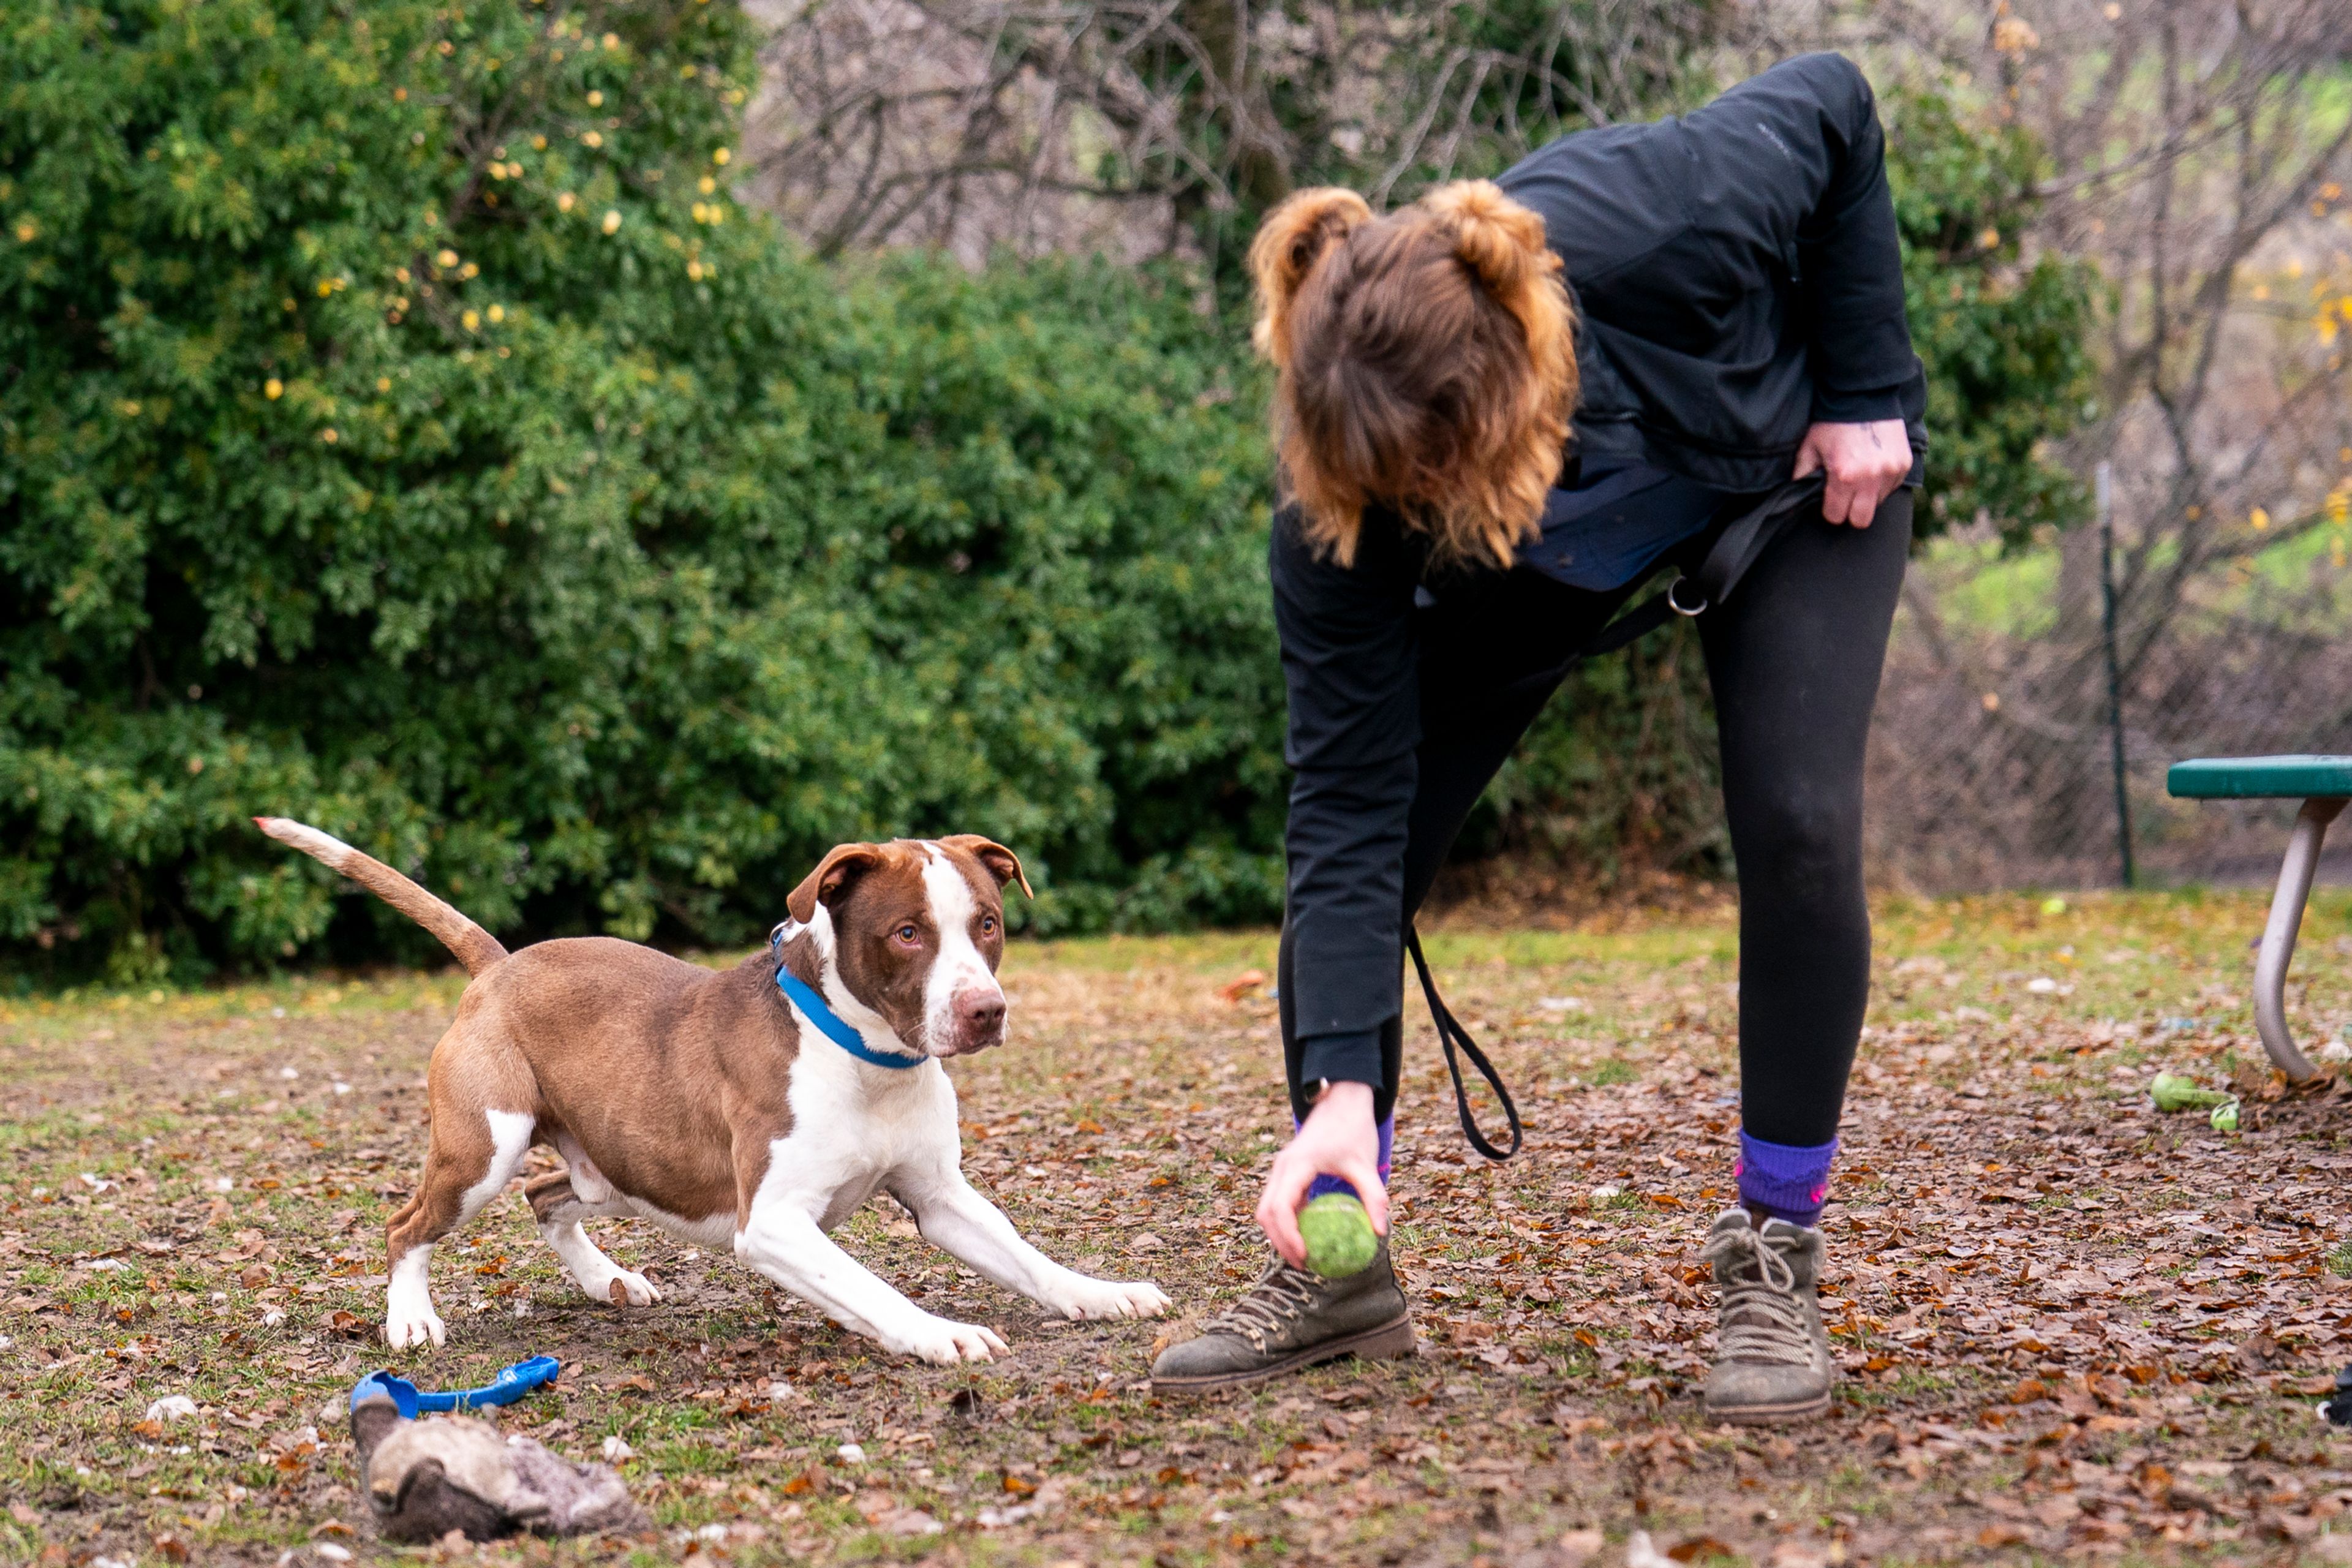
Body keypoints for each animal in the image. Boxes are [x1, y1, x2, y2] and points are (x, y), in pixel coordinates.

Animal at [257, 823, 1176, 1363]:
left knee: (550, 1193)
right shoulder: (772, 1223)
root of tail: (502, 964)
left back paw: (607, 1280)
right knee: (409, 1224)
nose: (985, 1011)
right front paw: (938, 1332)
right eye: (908, 933)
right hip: (482, 1146)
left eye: (988, 922)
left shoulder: (942, 1197)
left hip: (614, 1160)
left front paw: (1101, 1294)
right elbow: (871, 1286)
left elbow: (1025, 1256)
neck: (868, 1057)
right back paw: (411, 1319)